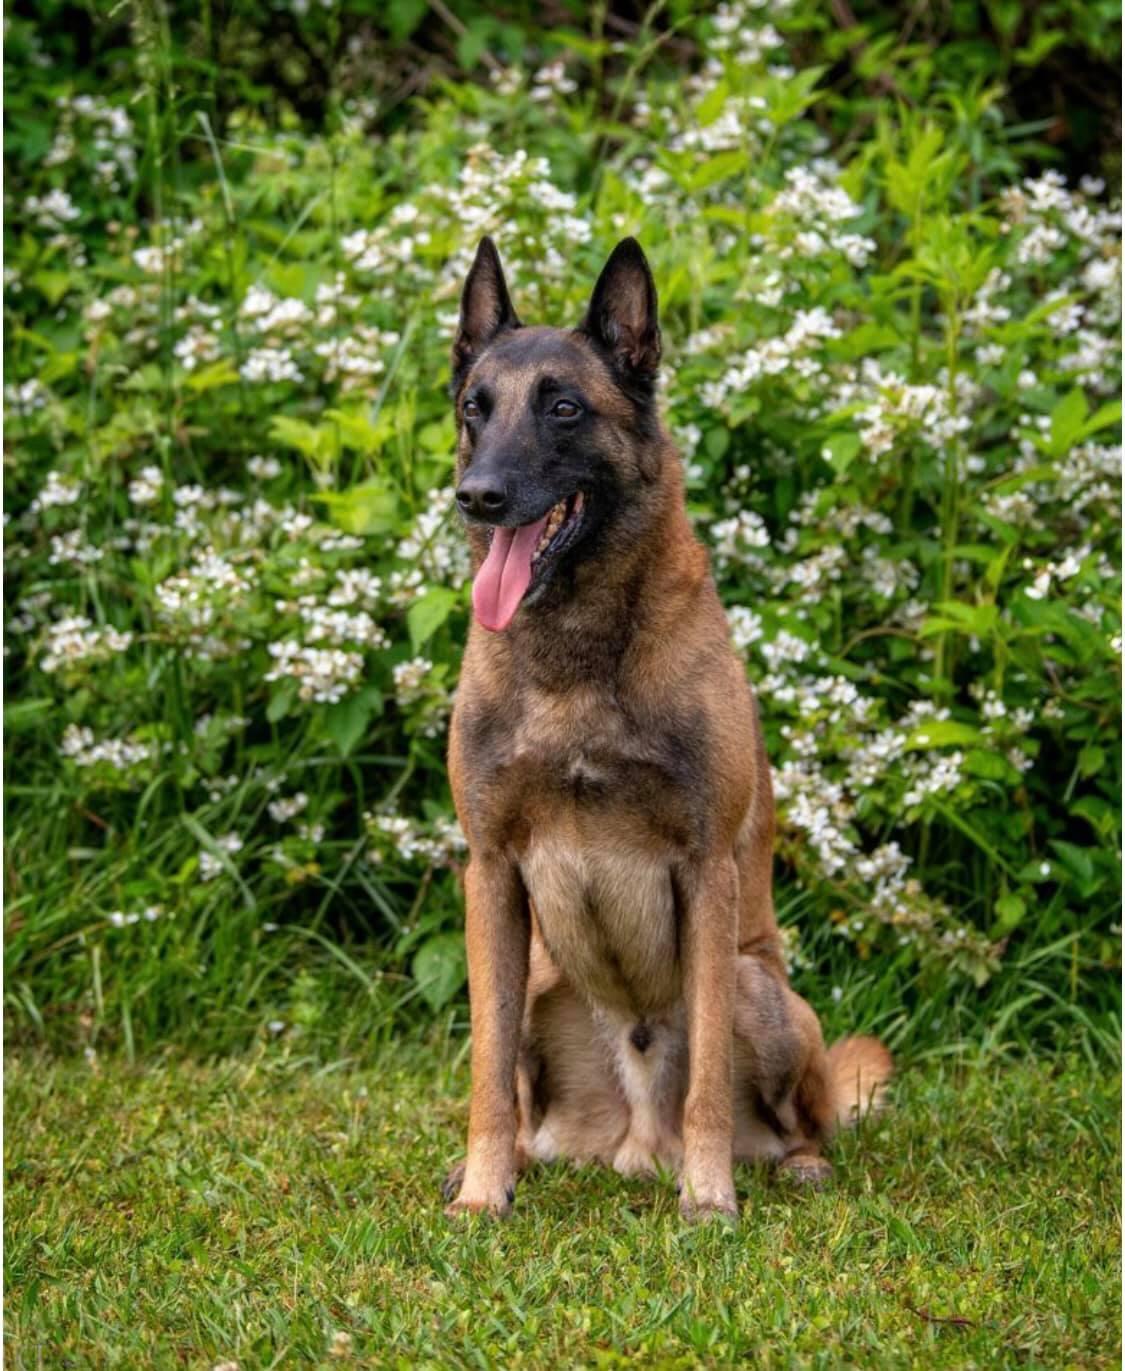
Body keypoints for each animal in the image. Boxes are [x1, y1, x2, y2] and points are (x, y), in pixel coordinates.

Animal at [442, 236, 891, 1221]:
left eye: (563, 407)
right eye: (472, 408)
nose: (477, 496)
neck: (574, 654)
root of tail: (631, 1146)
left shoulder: (704, 868)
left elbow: (709, 1079)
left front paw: (709, 1197)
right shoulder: (489, 872)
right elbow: (487, 1073)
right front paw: (484, 1192)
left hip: (761, 989)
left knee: (798, 1117)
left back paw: (785, 1164)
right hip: (538, 975)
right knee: (521, 1089)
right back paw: (515, 1160)